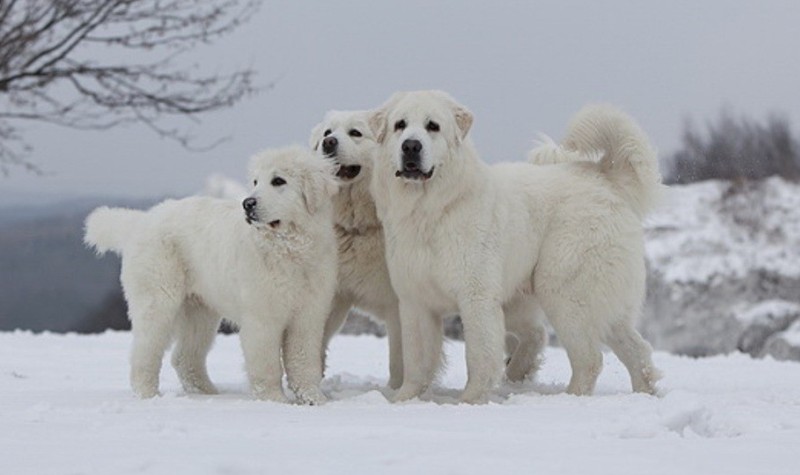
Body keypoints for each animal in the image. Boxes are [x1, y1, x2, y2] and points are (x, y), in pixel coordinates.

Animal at [83, 146, 338, 406]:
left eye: (278, 181)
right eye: (255, 182)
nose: (248, 203)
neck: (289, 249)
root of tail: (142, 220)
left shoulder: (308, 317)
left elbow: (303, 360)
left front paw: (313, 399)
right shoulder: (262, 318)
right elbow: (266, 364)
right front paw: (273, 401)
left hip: (199, 313)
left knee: (184, 358)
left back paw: (208, 394)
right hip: (158, 302)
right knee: (144, 353)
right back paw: (149, 395)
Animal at [308, 111, 406, 390]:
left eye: (355, 133)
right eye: (327, 132)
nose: (329, 142)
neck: (358, 227)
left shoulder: (399, 305)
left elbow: (399, 360)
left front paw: (397, 392)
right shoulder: (330, 295)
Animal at [368, 89, 664, 402]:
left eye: (432, 126)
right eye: (400, 125)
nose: (411, 146)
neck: (431, 210)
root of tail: (605, 177)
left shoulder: (476, 298)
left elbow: (479, 355)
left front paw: (470, 400)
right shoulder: (415, 301)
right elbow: (416, 359)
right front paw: (404, 399)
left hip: (563, 291)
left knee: (589, 358)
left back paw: (568, 398)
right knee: (635, 349)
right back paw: (642, 393)